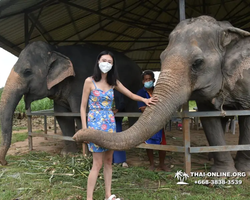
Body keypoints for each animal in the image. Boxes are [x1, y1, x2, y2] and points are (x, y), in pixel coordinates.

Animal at [0, 41, 143, 166]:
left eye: (27, 72)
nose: (5, 162)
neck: (56, 49)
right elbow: (62, 116)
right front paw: (68, 154)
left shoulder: (79, 84)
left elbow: (79, 112)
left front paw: (88, 155)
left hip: (135, 84)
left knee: (134, 111)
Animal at [72, 14, 250, 173]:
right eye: (162, 57)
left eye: (198, 63)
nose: (76, 135)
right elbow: (209, 119)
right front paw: (224, 172)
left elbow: (246, 118)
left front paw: (242, 170)